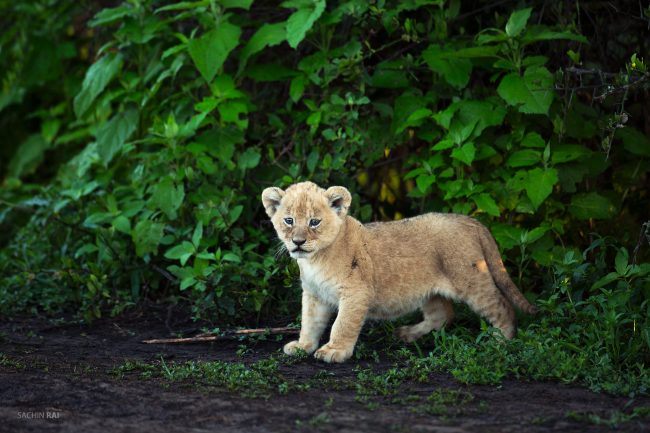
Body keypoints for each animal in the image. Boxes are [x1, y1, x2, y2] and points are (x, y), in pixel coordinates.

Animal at [262, 181, 537, 363]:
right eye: (288, 220)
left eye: (314, 222)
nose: (297, 242)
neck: (315, 259)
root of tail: (470, 221)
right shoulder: (314, 295)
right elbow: (310, 322)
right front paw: (303, 346)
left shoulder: (355, 293)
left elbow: (342, 324)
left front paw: (334, 351)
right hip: (430, 290)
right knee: (443, 314)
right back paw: (407, 334)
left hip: (471, 280)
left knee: (502, 307)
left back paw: (500, 341)